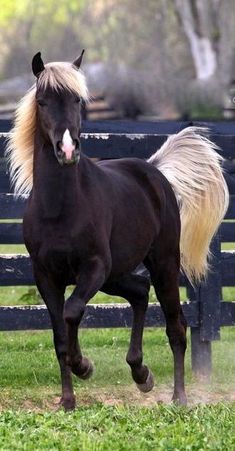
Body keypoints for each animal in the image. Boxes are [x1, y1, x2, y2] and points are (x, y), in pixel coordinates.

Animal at [6, 51, 229, 412]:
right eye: (42, 101)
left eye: (78, 100)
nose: (67, 151)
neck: (59, 208)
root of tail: (154, 170)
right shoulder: (45, 276)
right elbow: (59, 335)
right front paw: (67, 401)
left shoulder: (93, 267)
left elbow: (72, 312)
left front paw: (84, 366)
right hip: (116, 275)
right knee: (139, 292)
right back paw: (141, 374)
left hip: (162, 265)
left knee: (176, 327)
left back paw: (178, 397)